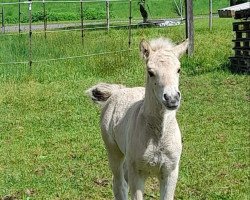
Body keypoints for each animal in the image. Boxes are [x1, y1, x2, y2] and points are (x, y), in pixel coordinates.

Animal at [86, 38, 188, 200]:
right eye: (150, 72)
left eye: (178, 69)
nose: (172, 98)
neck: (157, 137)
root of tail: (119, 91)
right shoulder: (137, 174)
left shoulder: (170, 172)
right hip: (113, 152)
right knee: (119, 183)